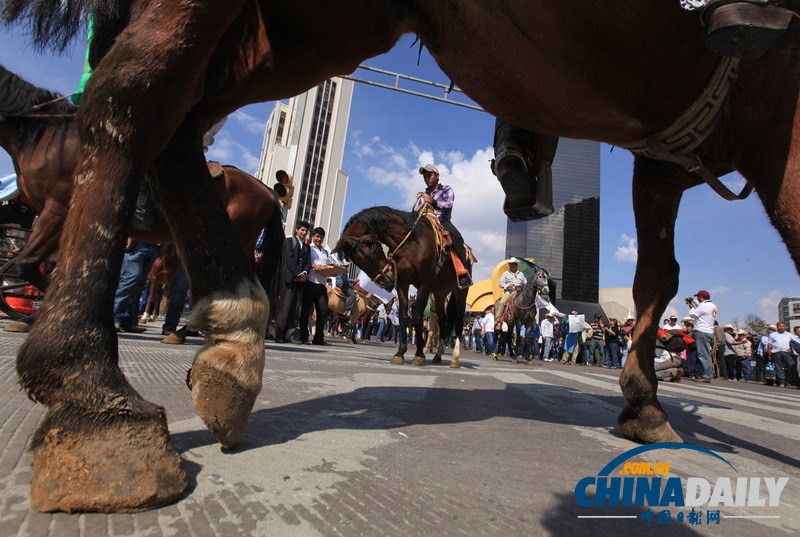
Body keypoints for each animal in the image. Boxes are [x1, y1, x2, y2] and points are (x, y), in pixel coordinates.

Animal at [334, 205, 472, 368]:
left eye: (368, 250)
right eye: (355, 260)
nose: (384, 280)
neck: (412, 243)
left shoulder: (424, 285)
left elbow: (417, 316)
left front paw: (419, 354)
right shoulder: (403, 284)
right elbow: (404, 316)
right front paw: (400, 353)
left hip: (460, 291)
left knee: (458, 321)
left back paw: (455, 358)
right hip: (440, 293)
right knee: (443, 321)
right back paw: (438, 355)